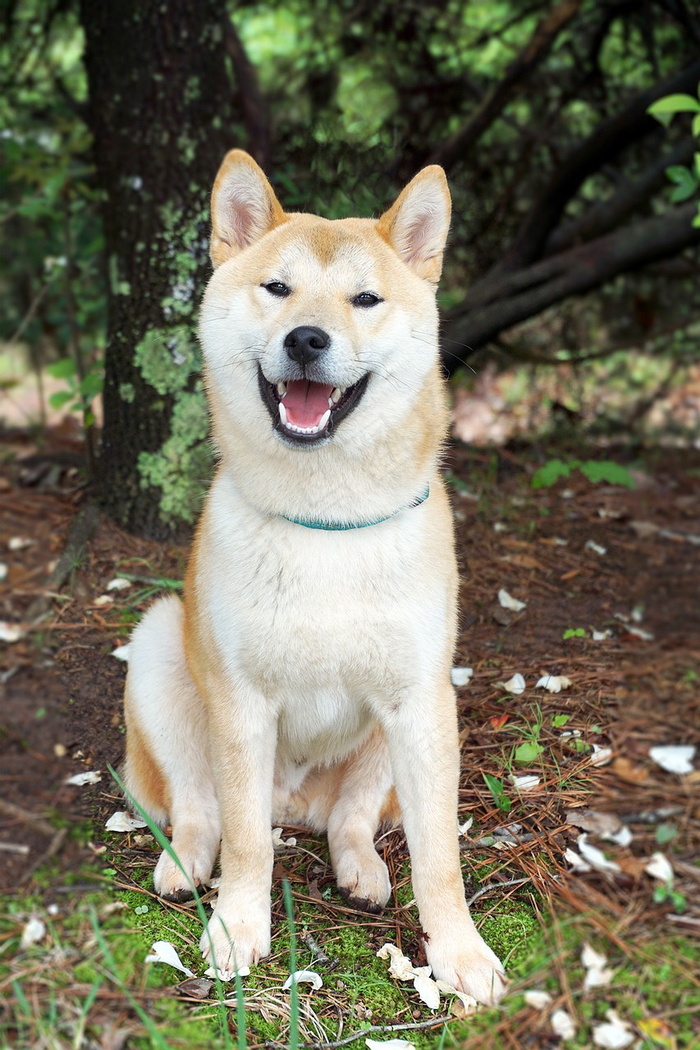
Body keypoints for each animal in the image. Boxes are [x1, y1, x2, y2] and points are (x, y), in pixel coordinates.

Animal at [123, 152, 505, 1003]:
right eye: (278, 288)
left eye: (365, 299)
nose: (306, 338)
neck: (326, 523)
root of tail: (292, 802)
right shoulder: (241, 703)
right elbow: (245, 847)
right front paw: (238, 926)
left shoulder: (420, 699)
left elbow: (439, 857)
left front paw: (458, 953)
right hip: (161, 652)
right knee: (201, 810)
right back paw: (184, 863)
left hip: (406, 729)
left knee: (349, 821)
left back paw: (360, 870)